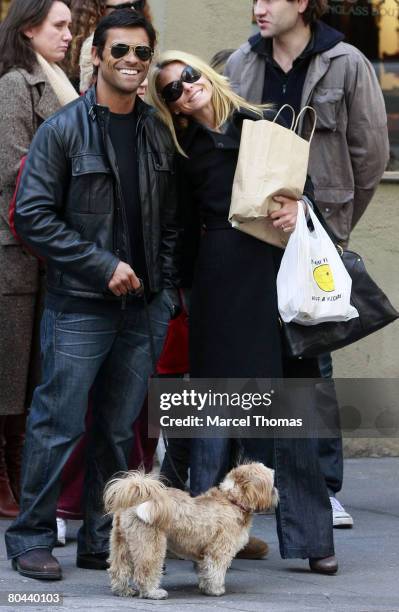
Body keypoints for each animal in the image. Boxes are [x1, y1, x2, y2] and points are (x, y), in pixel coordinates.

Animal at [104, 464, 280, 596]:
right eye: (272, 482)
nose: (277, 491)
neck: (232, 500)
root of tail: (139, 497)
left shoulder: (204, 554)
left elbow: (205, 570)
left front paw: (205, 587)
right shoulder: (219, 550)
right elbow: (215, 571)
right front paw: (216, 590)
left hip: (121, 543)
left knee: (119, 569)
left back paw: (123, 590)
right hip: (150, 544)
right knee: (146, 570)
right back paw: (153, 592)